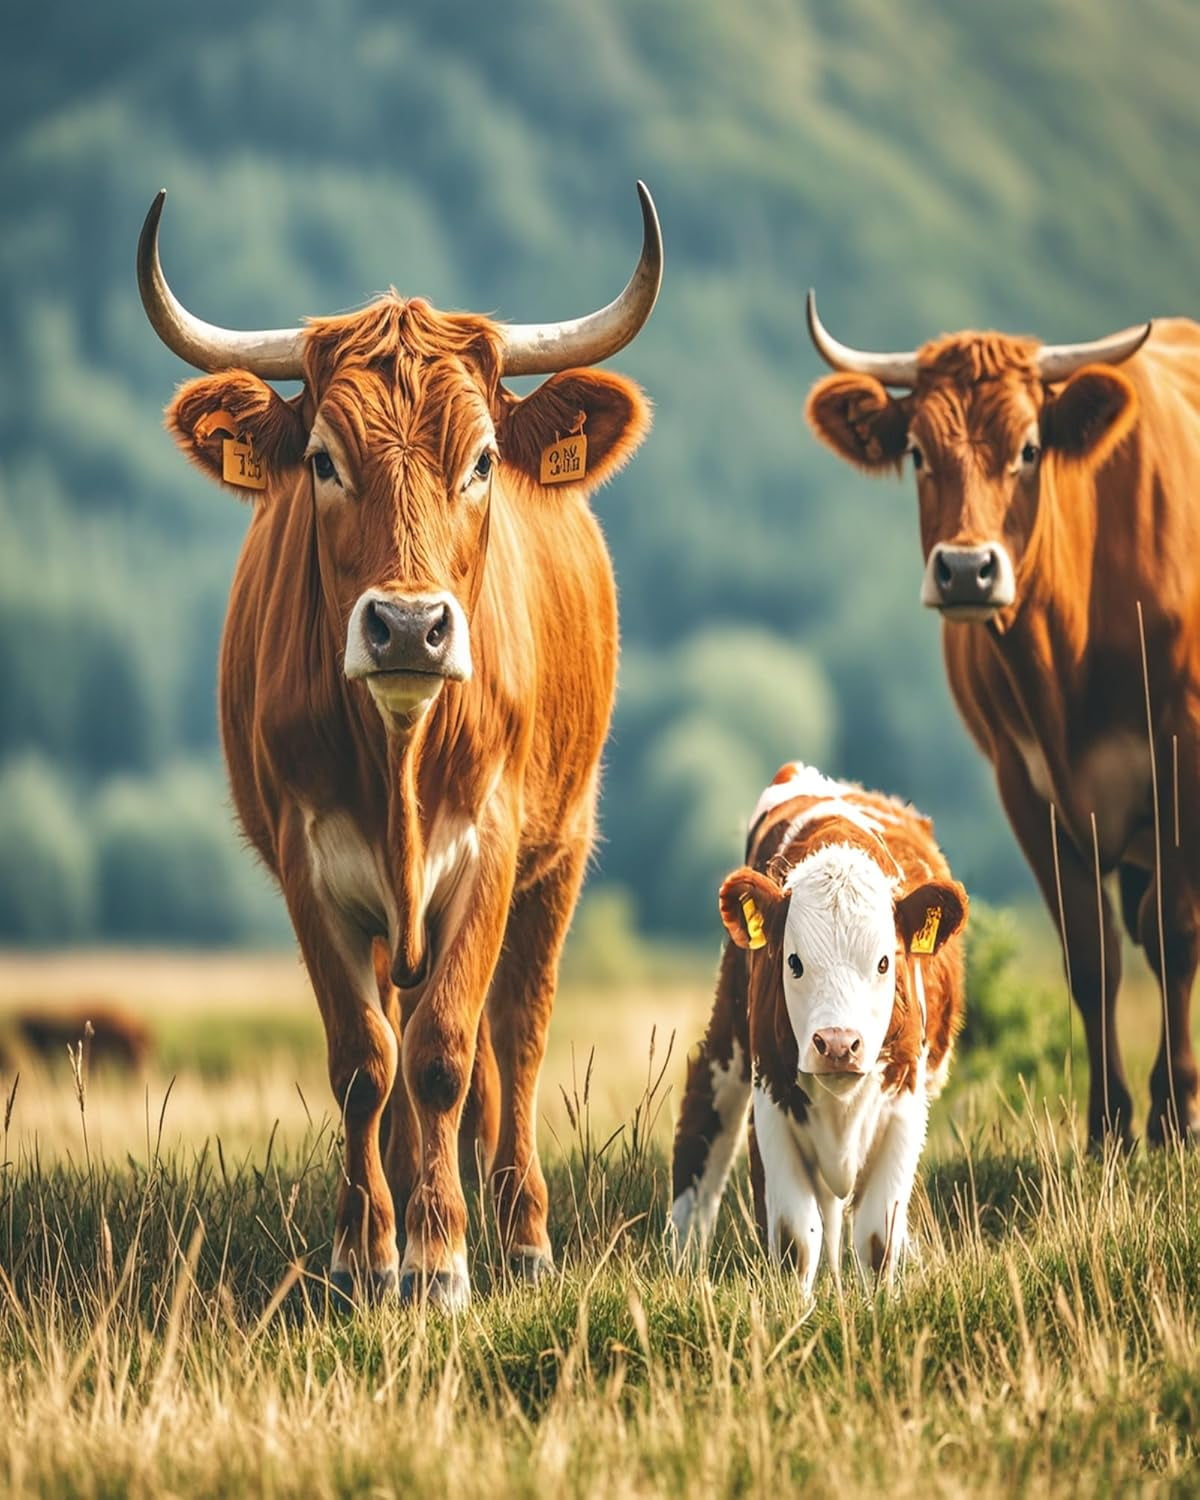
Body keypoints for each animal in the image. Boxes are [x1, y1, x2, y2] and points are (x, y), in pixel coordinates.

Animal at [136, 184, 661, 1307]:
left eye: (483, 461)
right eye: (323, 462)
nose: (411, 627)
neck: (401, 760)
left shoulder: (492, 849)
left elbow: (447, 1052)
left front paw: (442, 1256)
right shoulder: (309, 863)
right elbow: (365, 1061)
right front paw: (368, 1253)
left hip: (561, 849)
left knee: (516, 1033)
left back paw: (519, 1228)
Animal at [671, 762, 966, 1292]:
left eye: (885, 962)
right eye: (793, 961)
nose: (838, 1044)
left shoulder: (905, 1109)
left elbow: (877, 1238)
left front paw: (878, 1303)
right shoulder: (771, 1104)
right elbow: (795, 1238)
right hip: (731, 1035)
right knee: (705, 1111)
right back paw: (684, 1255)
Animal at [803, 295, 1200, 1147]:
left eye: (1028, 448)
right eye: (917, 451)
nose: (964, 570)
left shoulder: (1183, 756)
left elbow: (1178, 934)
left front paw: (1178, 1112)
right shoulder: (1025, 785)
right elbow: (1091, 956)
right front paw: (1110, 1124)